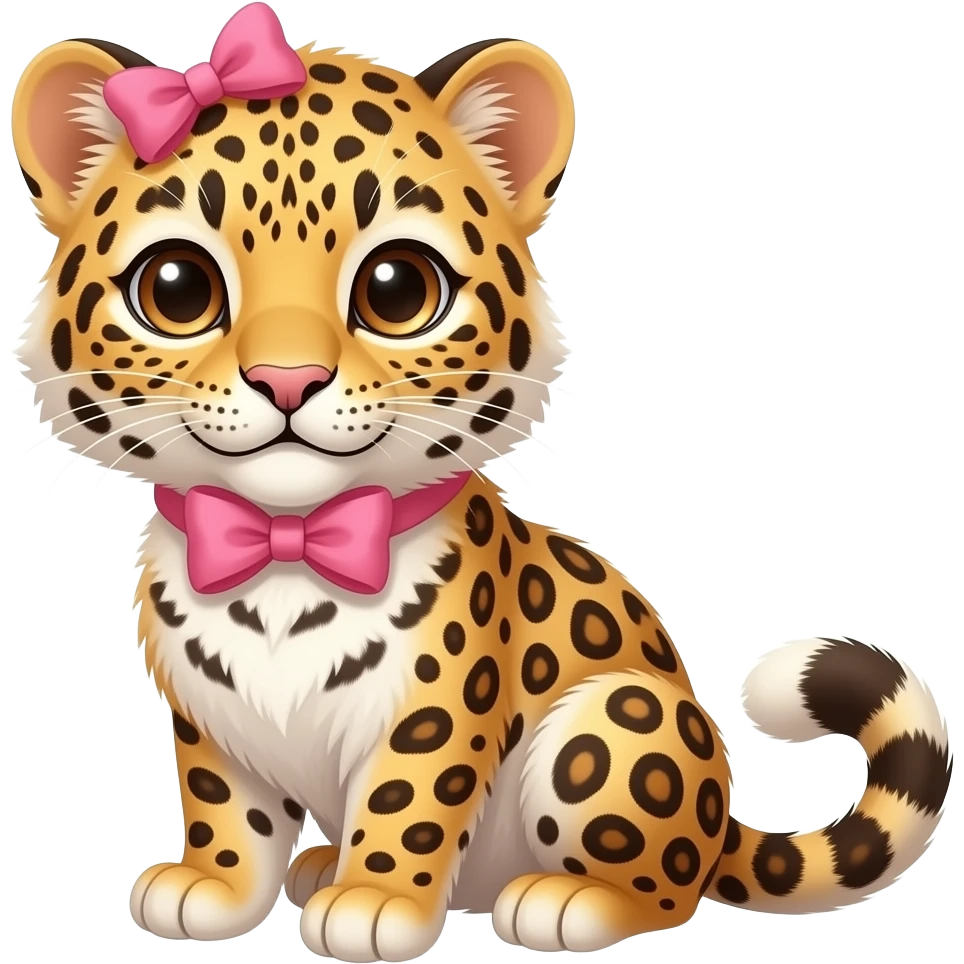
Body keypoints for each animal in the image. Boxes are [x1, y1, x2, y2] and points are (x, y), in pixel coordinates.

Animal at [11, 9, 953, 961]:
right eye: (177, 288)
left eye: (397, 289)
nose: (287, 379)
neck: (288, 546)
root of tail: (722, 826)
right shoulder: (210, 724)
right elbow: (226, 809)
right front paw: (214, 887)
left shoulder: (439, 706)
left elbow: (408, 804)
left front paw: (374, 903)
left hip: (620, 717)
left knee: (669, 887)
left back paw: (563, 902)